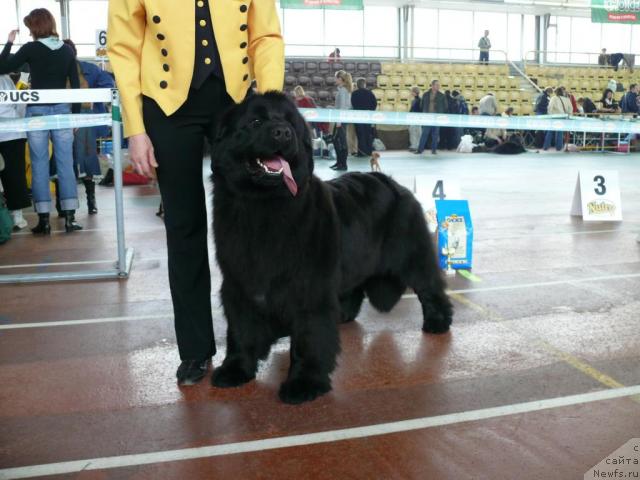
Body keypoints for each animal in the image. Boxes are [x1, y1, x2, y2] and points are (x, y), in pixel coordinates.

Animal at [210, 92, 450, 404]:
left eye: (290, 123)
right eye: (256, 122)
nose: (283, 132)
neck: (263, 206)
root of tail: (391, 181)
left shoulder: (307, 287)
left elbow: (308, 338)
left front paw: (303, 384)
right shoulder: (239, 283)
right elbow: (241, 330)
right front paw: (235, 370)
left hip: (410, 254)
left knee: (429, 284)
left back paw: (438, 321)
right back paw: (343, 314)